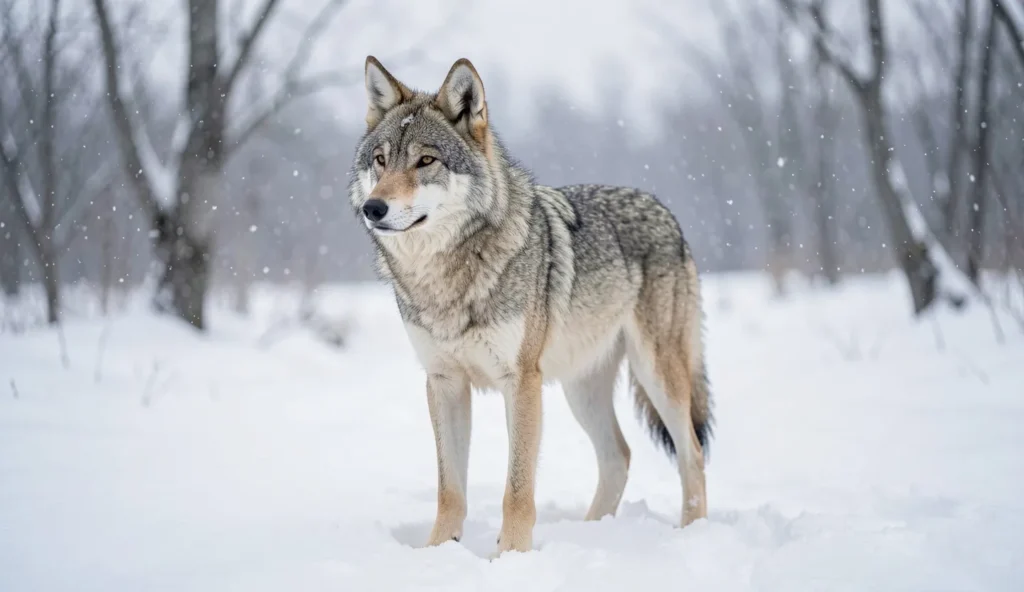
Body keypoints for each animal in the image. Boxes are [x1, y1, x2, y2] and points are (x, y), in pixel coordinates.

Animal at [348, 56, 713, 556]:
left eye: (426, 161)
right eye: (381, 160)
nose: (373, 208)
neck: (447, 279)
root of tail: (663, 209)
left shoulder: (520, 382)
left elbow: (517, 490)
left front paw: (510, 557)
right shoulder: (443, 382)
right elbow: (450, 490)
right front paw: (439, 552)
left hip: (657, 375)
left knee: (691, 454)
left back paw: (693, 534)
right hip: (581, 388)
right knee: (618, 456)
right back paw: (591, 533)